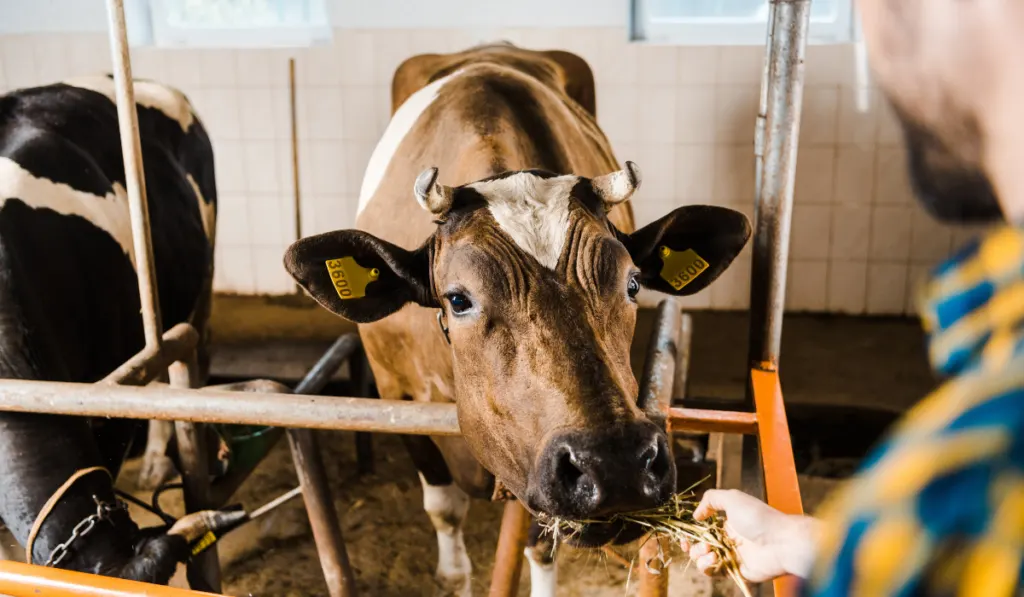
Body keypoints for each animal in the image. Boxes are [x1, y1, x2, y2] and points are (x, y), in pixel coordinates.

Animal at [284, 44, 749, 593]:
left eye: (633, 283)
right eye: (458, 299)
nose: (615, 464)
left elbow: (540, 545)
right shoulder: (394, 393)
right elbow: (445, 513)